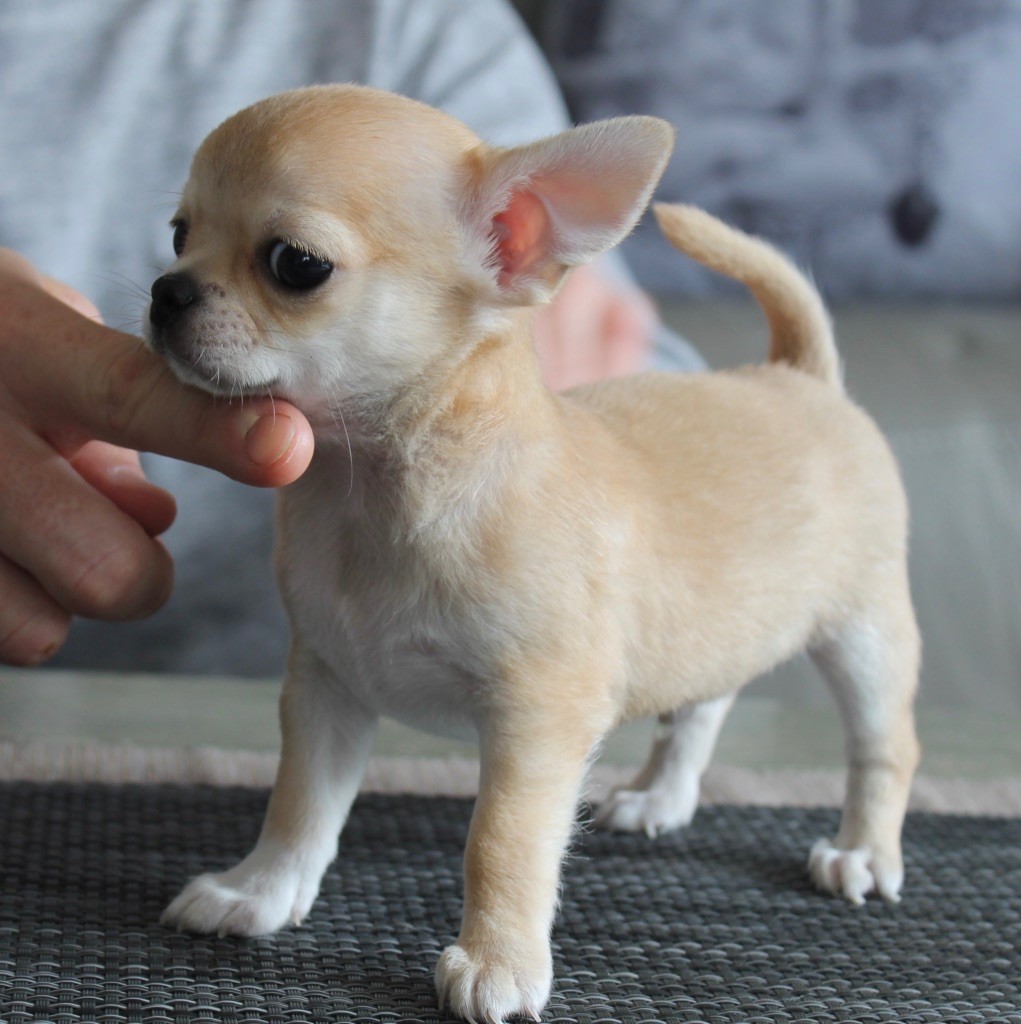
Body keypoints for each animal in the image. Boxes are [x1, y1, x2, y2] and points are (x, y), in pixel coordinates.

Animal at [147, 85, 920, 1024]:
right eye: (178, 234)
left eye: (295, 264)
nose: (164, 291)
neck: (371, 493)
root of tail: (798, 376)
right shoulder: (327, 688)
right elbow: (298, 805)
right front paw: (258, 891)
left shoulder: (535, 723)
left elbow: (501, 842)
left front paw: (498, 962)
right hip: (721, 629)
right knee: (703, 705)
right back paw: (662, 795)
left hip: (865, 635)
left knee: (884, 746)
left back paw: (862, 851)